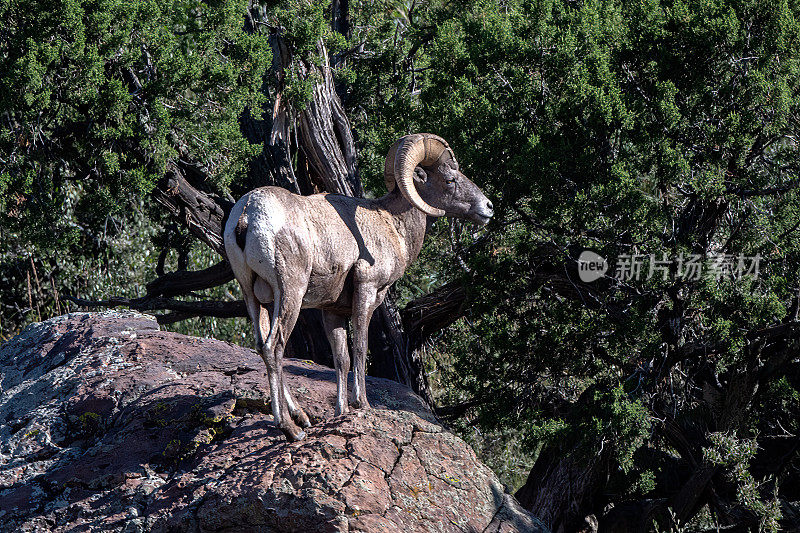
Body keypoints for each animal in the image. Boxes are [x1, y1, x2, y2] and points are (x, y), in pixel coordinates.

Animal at [222, 134, 490, 440]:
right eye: (450, 180)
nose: (488, 207)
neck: (392, 224)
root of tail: (247, 215)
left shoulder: (332, 311)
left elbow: (342, 359)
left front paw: (342, 411)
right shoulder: (367, 291)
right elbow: (361, 348)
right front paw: (363, 404)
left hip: (255, 298)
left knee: (262, 345)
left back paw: (301, 417)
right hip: (290, 293)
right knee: (274, 347)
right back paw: (291, 428)